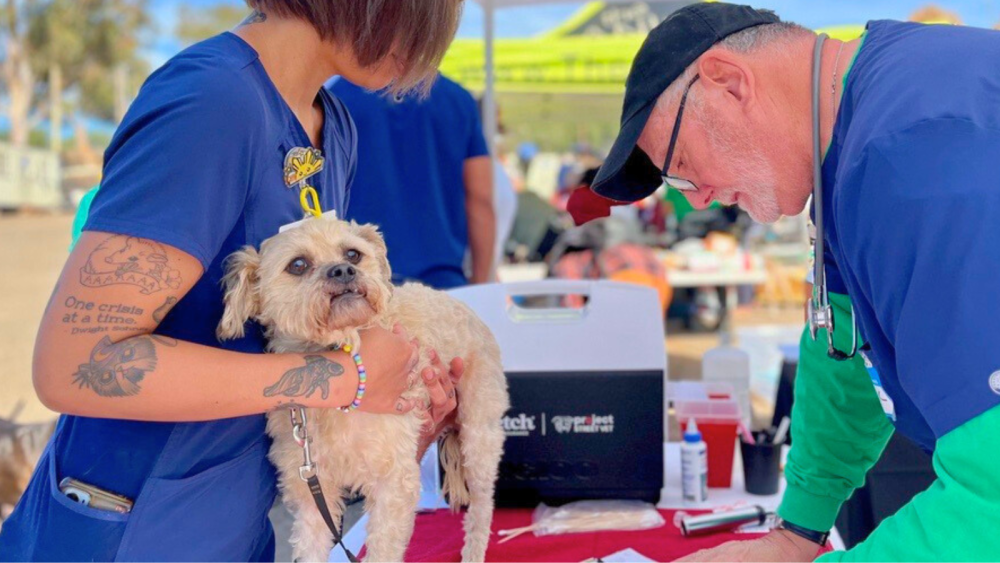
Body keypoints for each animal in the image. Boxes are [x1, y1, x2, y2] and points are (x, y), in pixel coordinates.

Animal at [217, 218, 508, 560]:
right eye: (298, 265)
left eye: (353, 254)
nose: (343, 270)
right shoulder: (312, 492)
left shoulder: (394, 483)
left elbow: (382, 550)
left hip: (479, 439)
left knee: (481, 510)